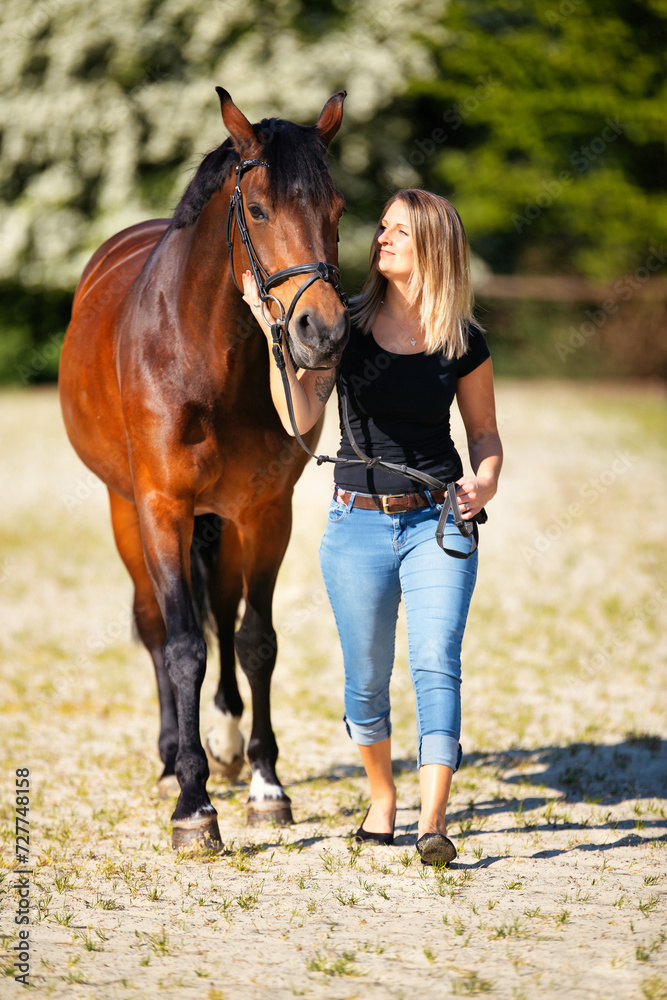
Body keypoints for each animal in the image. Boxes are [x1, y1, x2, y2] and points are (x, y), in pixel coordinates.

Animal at [59, 88, 349, 853]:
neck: (205, 356)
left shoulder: (266, 512)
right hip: (126, 509)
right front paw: (193, 804)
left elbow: (254, 640)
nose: (322, 332)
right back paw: (172, 763)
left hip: (222, 521)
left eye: (337, 209)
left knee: (221, 609)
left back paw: (225, 743)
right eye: (259, 210)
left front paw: (266, 784)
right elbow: (183, 644)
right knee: (157, 625)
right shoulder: (161, 507)